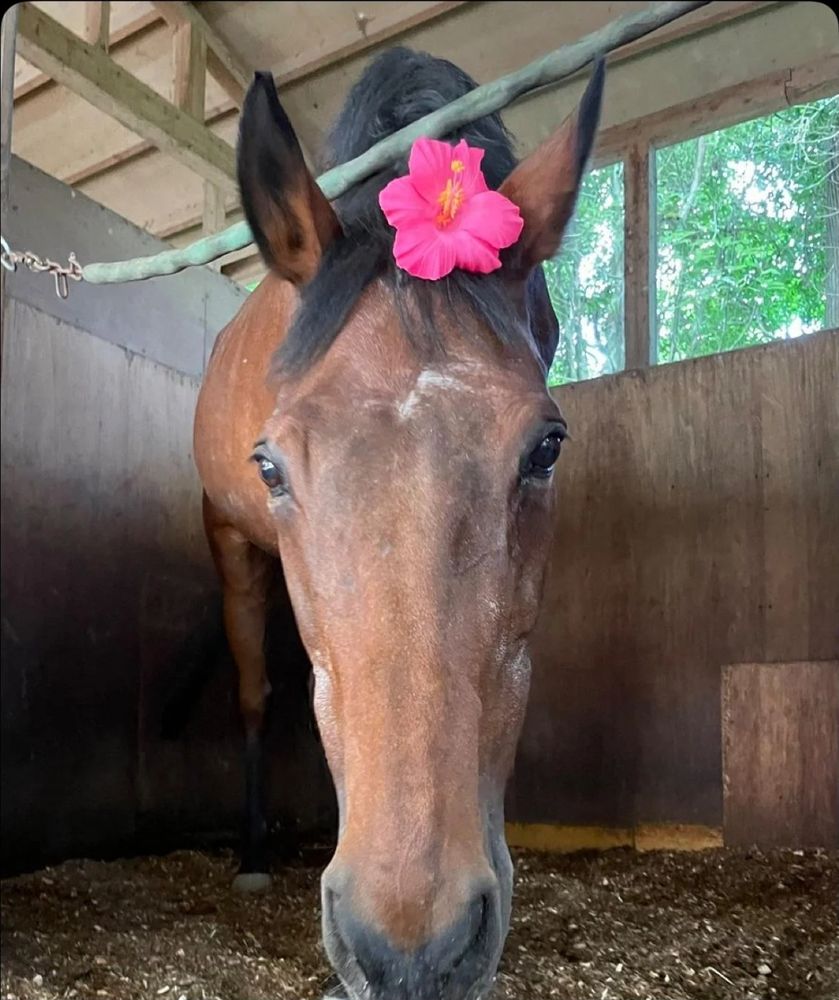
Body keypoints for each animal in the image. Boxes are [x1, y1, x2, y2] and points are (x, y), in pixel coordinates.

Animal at [194, 46, 604, 1000]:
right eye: (269, 465)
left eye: (547, 448)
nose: (412, 951)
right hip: (231, 552)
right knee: (256, 692)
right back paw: (255, 854)